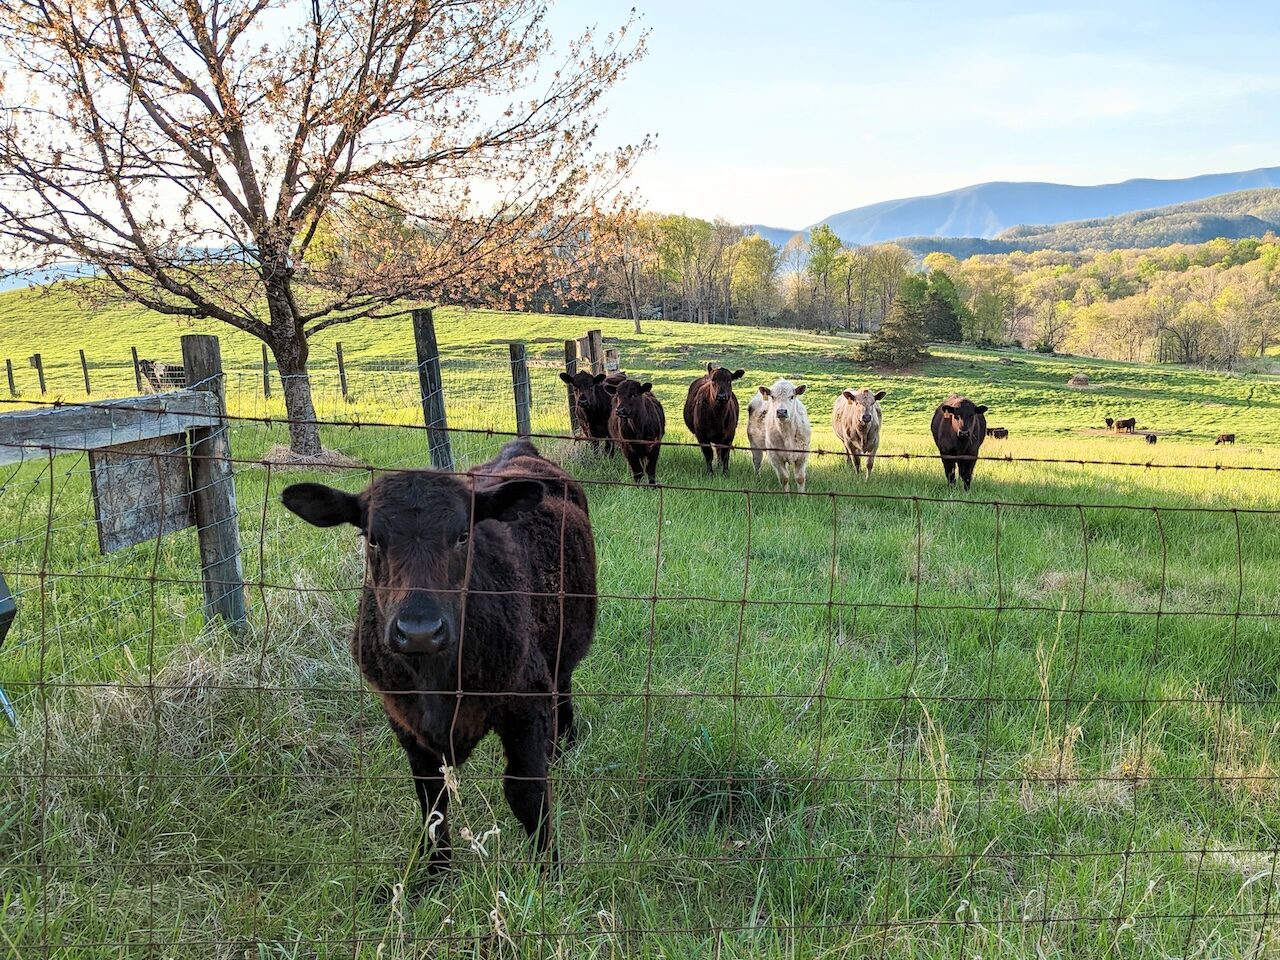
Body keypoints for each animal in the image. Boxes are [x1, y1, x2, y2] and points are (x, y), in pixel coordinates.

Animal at [280, 442, 593, 880]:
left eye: (463, 535)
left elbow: (526, 790)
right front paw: (435, 874)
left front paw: (548, 870)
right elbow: (432, 801)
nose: (419, 630)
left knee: (562, 689)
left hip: (563, 651)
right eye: (372, 539)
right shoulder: (403, 718)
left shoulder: (525, 701)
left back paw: (563, 746)